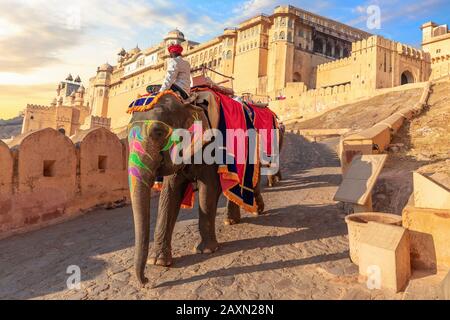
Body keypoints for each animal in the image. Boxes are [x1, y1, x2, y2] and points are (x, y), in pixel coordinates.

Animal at [126, 91, 268, 284]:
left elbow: (208, 191)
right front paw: (158, 261)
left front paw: (206, 250)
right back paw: (232, 220)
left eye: (159, 132)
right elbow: (169, 195)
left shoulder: (211, 148)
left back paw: (256, 210)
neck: (187, 104)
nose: (146, 281)